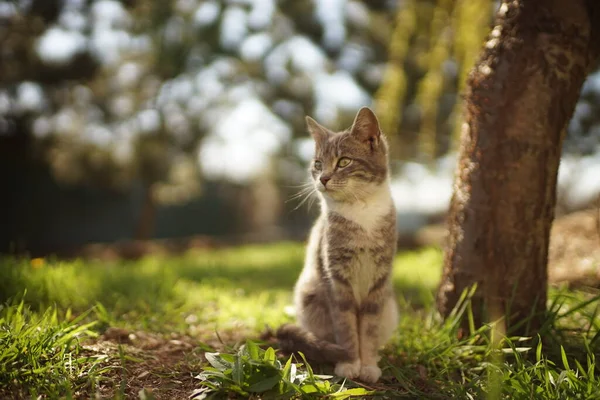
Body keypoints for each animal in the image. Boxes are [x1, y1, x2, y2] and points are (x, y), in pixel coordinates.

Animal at [276, 107, 398, 384]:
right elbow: (346, 327)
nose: (323, 178)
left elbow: (369, 328)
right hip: (309, 298)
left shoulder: (379, 280)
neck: (361, 210)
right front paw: (350, 362)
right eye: (318, 164)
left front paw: (368, 364)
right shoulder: (335, 279)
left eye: (344, 162)